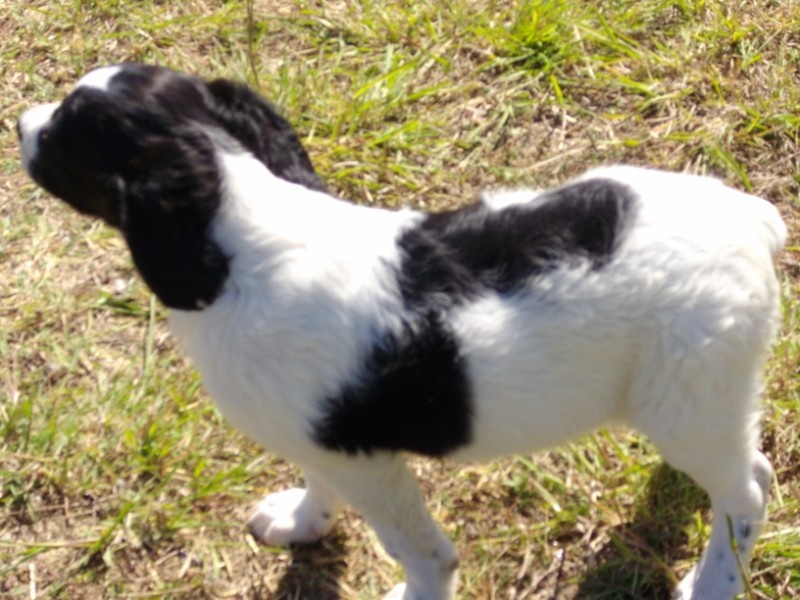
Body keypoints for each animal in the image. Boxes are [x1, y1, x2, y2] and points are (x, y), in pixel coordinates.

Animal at [18, 63, 785, 600]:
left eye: (59, 138)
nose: (21, 121)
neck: (238, 232)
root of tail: (749, 219)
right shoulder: (325, 438)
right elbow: (317, 482)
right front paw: (302, 521)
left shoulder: (367, 460)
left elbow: (419, 550)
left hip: (690, 398)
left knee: (748, 489)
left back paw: (715, 582)